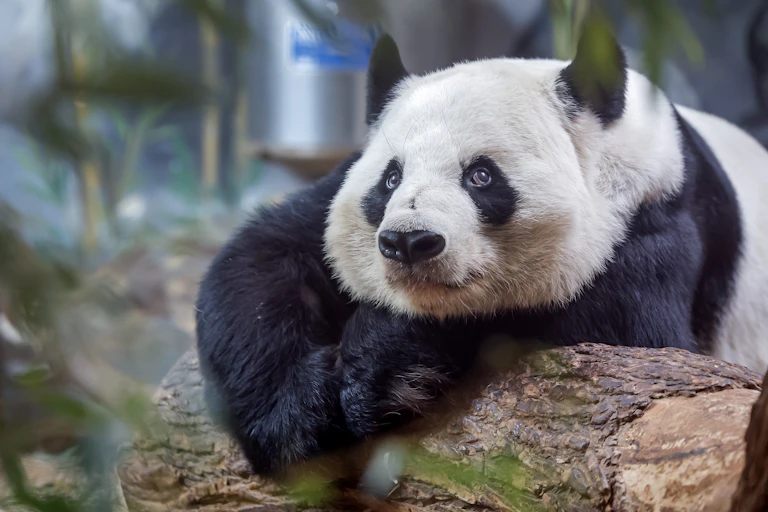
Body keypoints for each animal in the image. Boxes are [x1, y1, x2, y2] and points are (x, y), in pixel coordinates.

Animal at [195, 31, 768, 476]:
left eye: (481, 176)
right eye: (391, 179)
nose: (409, 242)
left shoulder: (662, 216)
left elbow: (628, 334)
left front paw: (382, 367)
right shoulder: (330, 195)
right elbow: (262, 258)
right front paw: (296, 414)